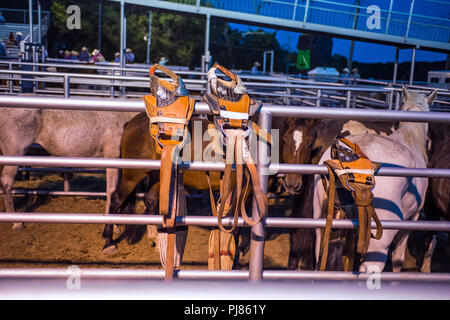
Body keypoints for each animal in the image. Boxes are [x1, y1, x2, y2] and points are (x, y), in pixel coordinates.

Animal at [0, 105, 137, 230]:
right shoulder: (112, 157)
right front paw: (112, 223)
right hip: (15, 155)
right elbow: (112, 190)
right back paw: (16, 222)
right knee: (6, 184)